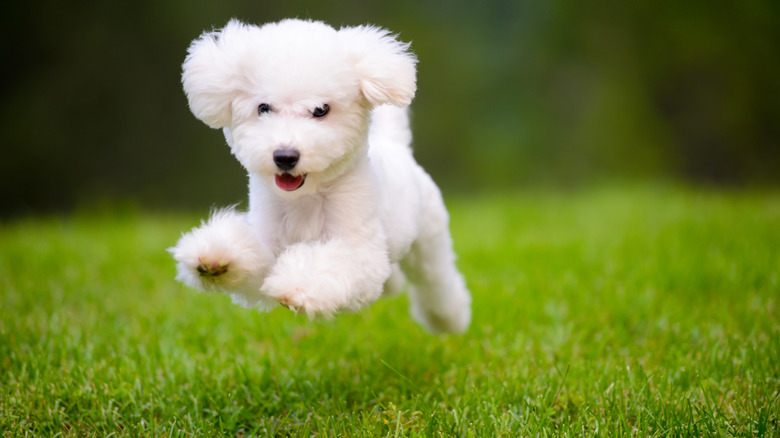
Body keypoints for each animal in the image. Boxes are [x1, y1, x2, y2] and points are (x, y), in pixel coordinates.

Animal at [171, 18, 472, 334]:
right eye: (263, 108)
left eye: (320, 110)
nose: (285, 156)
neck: (307, 199)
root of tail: (395, 144)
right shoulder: (270, 243)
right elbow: (251, 256)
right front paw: (215, 259)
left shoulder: (360, 250)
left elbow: (333, 263)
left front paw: (298, 286)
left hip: (429, 237)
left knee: (436, 280)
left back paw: (449, 318)